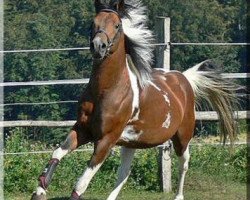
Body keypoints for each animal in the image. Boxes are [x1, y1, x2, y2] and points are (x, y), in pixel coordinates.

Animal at [31, 0, 238, 199]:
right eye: (93, 23)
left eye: (117, 25)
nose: (98, 46)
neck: (105, 90)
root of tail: (184, 78)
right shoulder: (83, 129)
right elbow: (57, 153)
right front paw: (39, 192)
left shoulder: (106, 140)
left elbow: (81, 183)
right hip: (130, 143)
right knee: (124, 174)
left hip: (182, 136)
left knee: (184, 164)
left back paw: (179, 196)